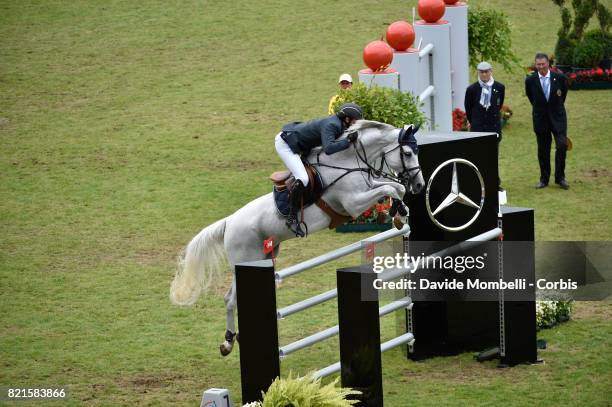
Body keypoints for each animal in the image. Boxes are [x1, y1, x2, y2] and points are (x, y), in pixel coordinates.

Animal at [170, 121, 424, 356]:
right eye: (407, 153)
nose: (420, 185)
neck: (348, 162)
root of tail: (229, 222)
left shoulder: (369, 187)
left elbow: (395, 187)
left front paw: (399, 212)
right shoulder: (353, 203)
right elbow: (391, 189)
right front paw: (397, 211)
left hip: (264, 256)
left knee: (231, 298)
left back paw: (233, 340)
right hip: (245, 260)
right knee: (230, 299)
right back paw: (228, 342)